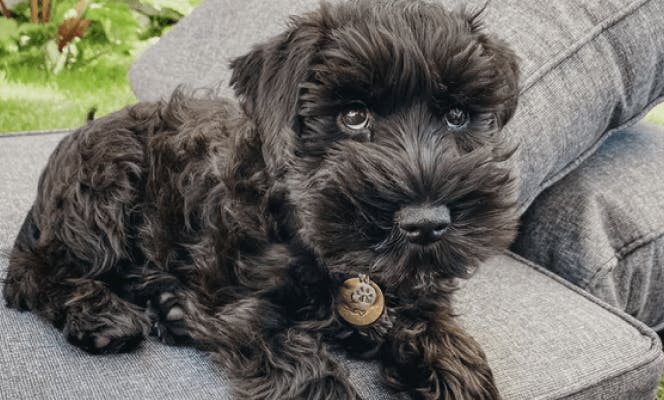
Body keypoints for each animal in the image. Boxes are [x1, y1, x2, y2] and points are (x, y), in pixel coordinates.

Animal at [2, 1, 520, 398]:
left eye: (457, 116)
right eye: (353, 116)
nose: (426, 223)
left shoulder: (422, 297)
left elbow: (450, 345)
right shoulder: (253, 315)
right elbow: (312, 375)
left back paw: (169, 308)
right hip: (103, 193)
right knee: (32, 271)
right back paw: (103, 316)